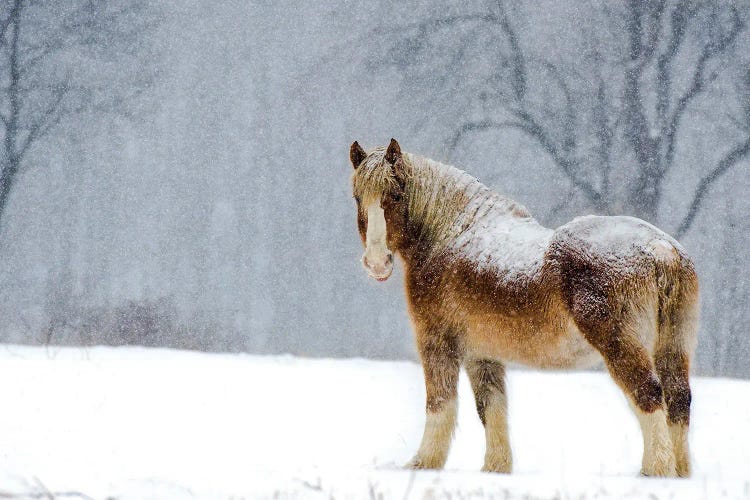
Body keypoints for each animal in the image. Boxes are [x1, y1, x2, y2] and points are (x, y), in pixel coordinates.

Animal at [350, 138, 704, 476]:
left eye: (396, 195)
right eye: (357, 197)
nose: (376, 263)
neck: (450, 235)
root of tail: (660, 249)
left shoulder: (437, 343)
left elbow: (441, 404)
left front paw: (423, 463)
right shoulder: (482, 354)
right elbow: (491, 408)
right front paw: (495, 467)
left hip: (622, 347)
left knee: (649, 395)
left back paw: (655, 471)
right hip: (673, 347)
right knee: (677, 400)